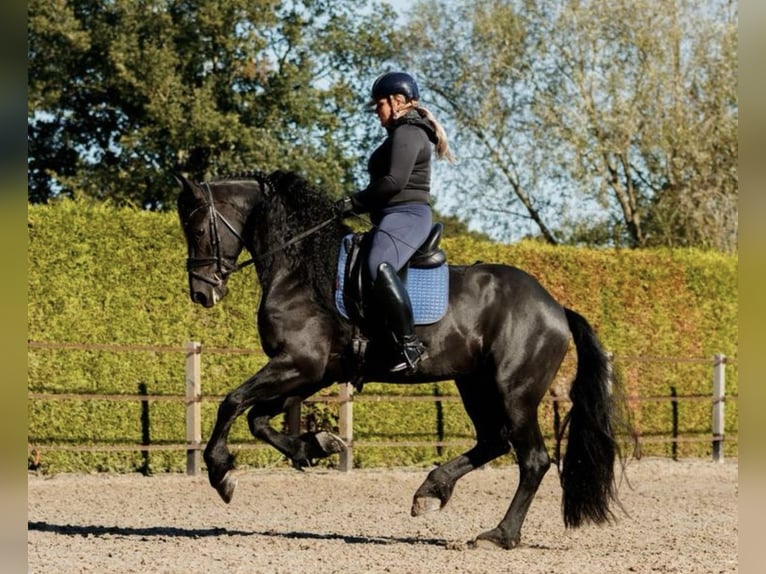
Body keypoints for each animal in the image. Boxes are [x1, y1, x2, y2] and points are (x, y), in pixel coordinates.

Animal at [176, 170, 632, 548]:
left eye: (196, 227)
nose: (201, 292)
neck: (301, 270)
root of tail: (555, 307)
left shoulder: (298, 364)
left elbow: (232, 402)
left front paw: (221, 473)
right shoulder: (311, 373)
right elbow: (257, 418)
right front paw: (316, 445)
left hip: (513, 393)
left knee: (533, 460)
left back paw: (500, 535)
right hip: (474, 385)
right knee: (492, 441)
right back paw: (431, 491)